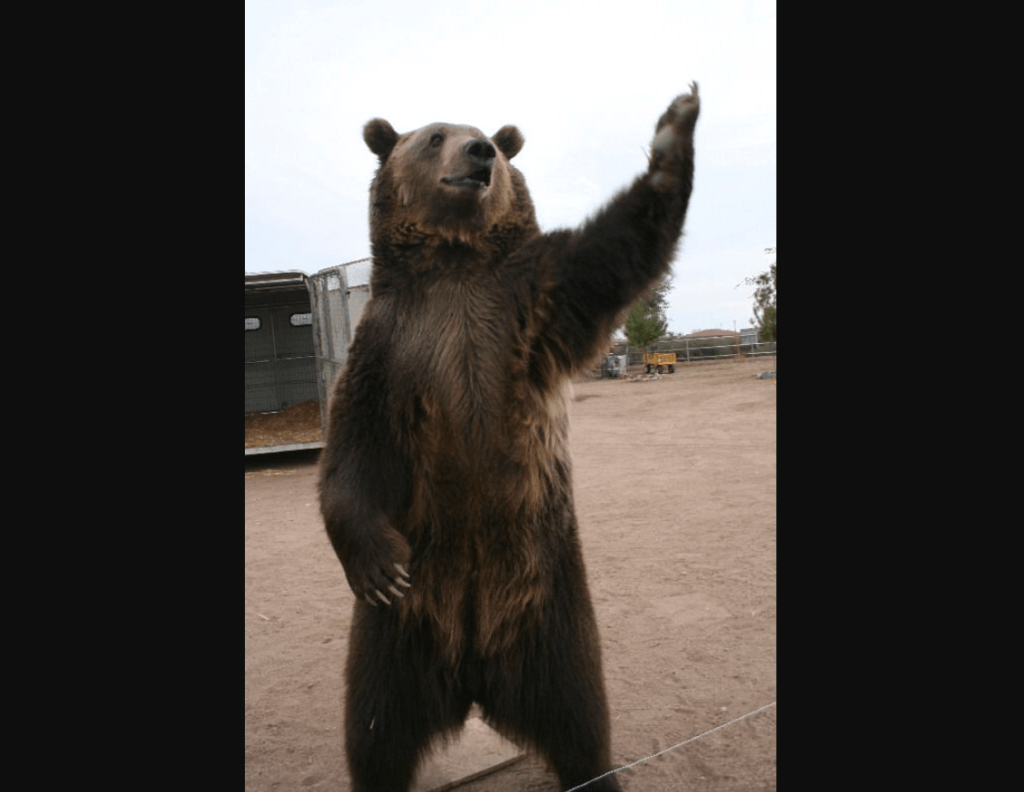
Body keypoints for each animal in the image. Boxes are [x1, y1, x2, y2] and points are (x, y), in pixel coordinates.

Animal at [319, 84, 700, 792]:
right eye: (434, 136)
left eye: (489, 138)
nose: (480, 153)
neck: (455, 264)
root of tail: (472, 669)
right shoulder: (388, 349)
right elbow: (353, 449)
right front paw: (379, 565)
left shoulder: (531, 302)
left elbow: (614, 253)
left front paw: (673, 131)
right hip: (401, 630)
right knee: (376, 724)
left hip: (549, 602)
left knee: (579, 712)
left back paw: (599, 774)